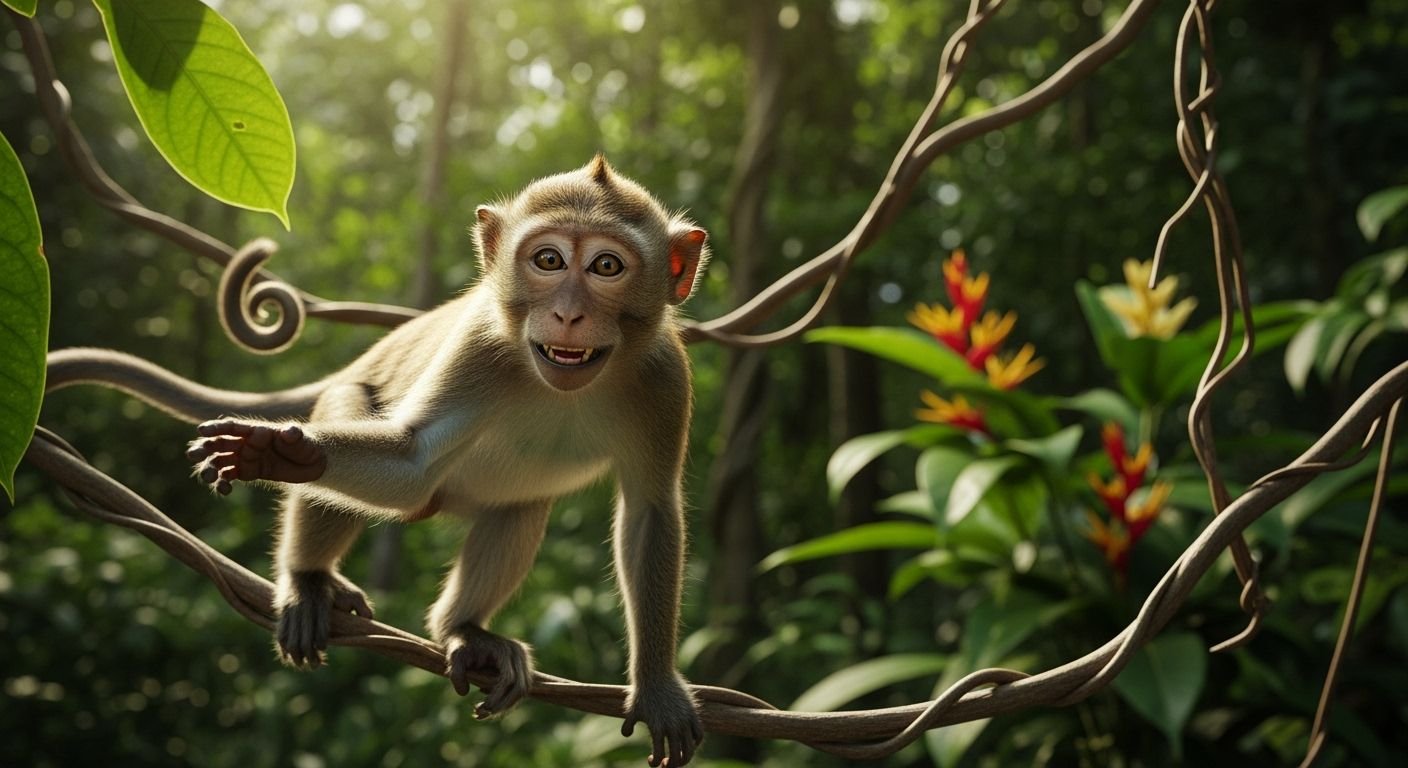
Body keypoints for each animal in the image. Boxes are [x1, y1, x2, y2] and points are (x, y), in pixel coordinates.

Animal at [48, 156, 709, 767]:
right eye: (548, 261)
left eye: (606, 266)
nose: (569, 314)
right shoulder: (481, 346)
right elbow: (412, 455)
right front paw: (275, 451)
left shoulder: (664, 376)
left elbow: (650, 513)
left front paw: (655, 687)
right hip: (347, 396)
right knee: (348, 468)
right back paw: (308, 579)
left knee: (519, 508)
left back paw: (465, 632)